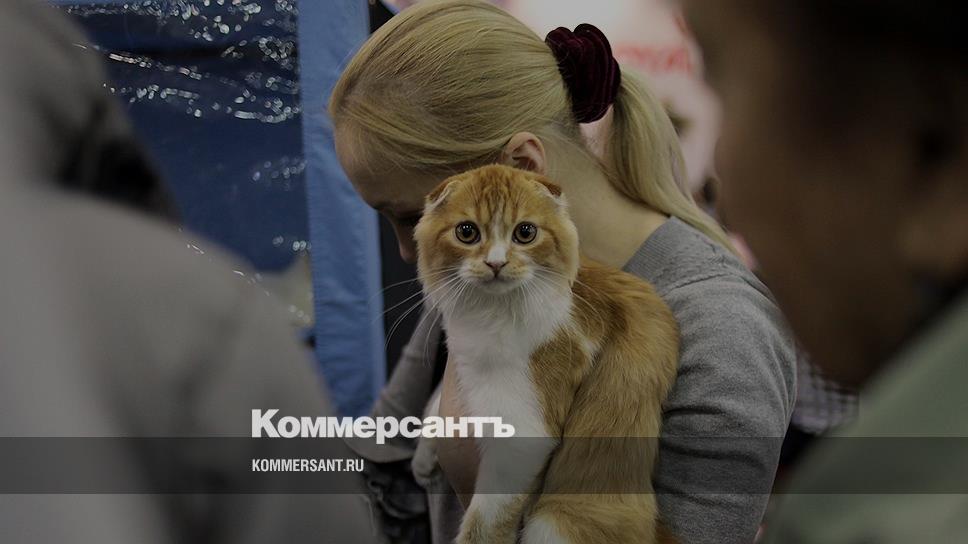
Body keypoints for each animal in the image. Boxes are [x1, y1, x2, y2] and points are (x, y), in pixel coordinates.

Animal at [414, 164, 680, 544]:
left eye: (525, 233)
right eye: (467, 232)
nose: (496, 263)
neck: (489, 311)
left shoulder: (523, 435)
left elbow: (483, 525)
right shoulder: (466, 364)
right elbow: (436, 401)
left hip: (556, 522)